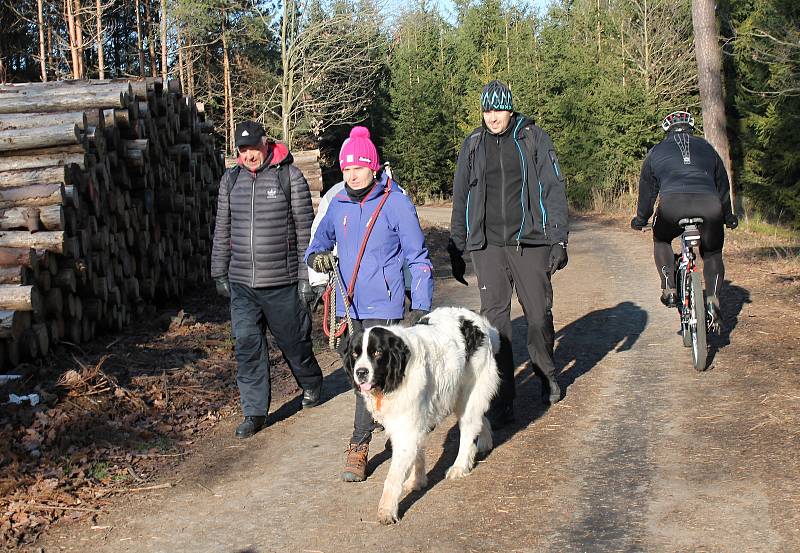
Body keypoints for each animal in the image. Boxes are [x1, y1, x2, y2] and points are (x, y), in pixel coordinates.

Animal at [342, 306, 500, 520]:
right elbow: (417, 453)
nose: (361, 372)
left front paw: (387, 510)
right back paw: (484, 442)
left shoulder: (407, 427)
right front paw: (417, 481)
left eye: (376, 352)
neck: (396, 374)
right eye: (355, 354)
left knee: (468, 428)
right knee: (478, 419)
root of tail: (477, 321)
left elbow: (393, 476)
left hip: (469, 391)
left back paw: (459, 466)